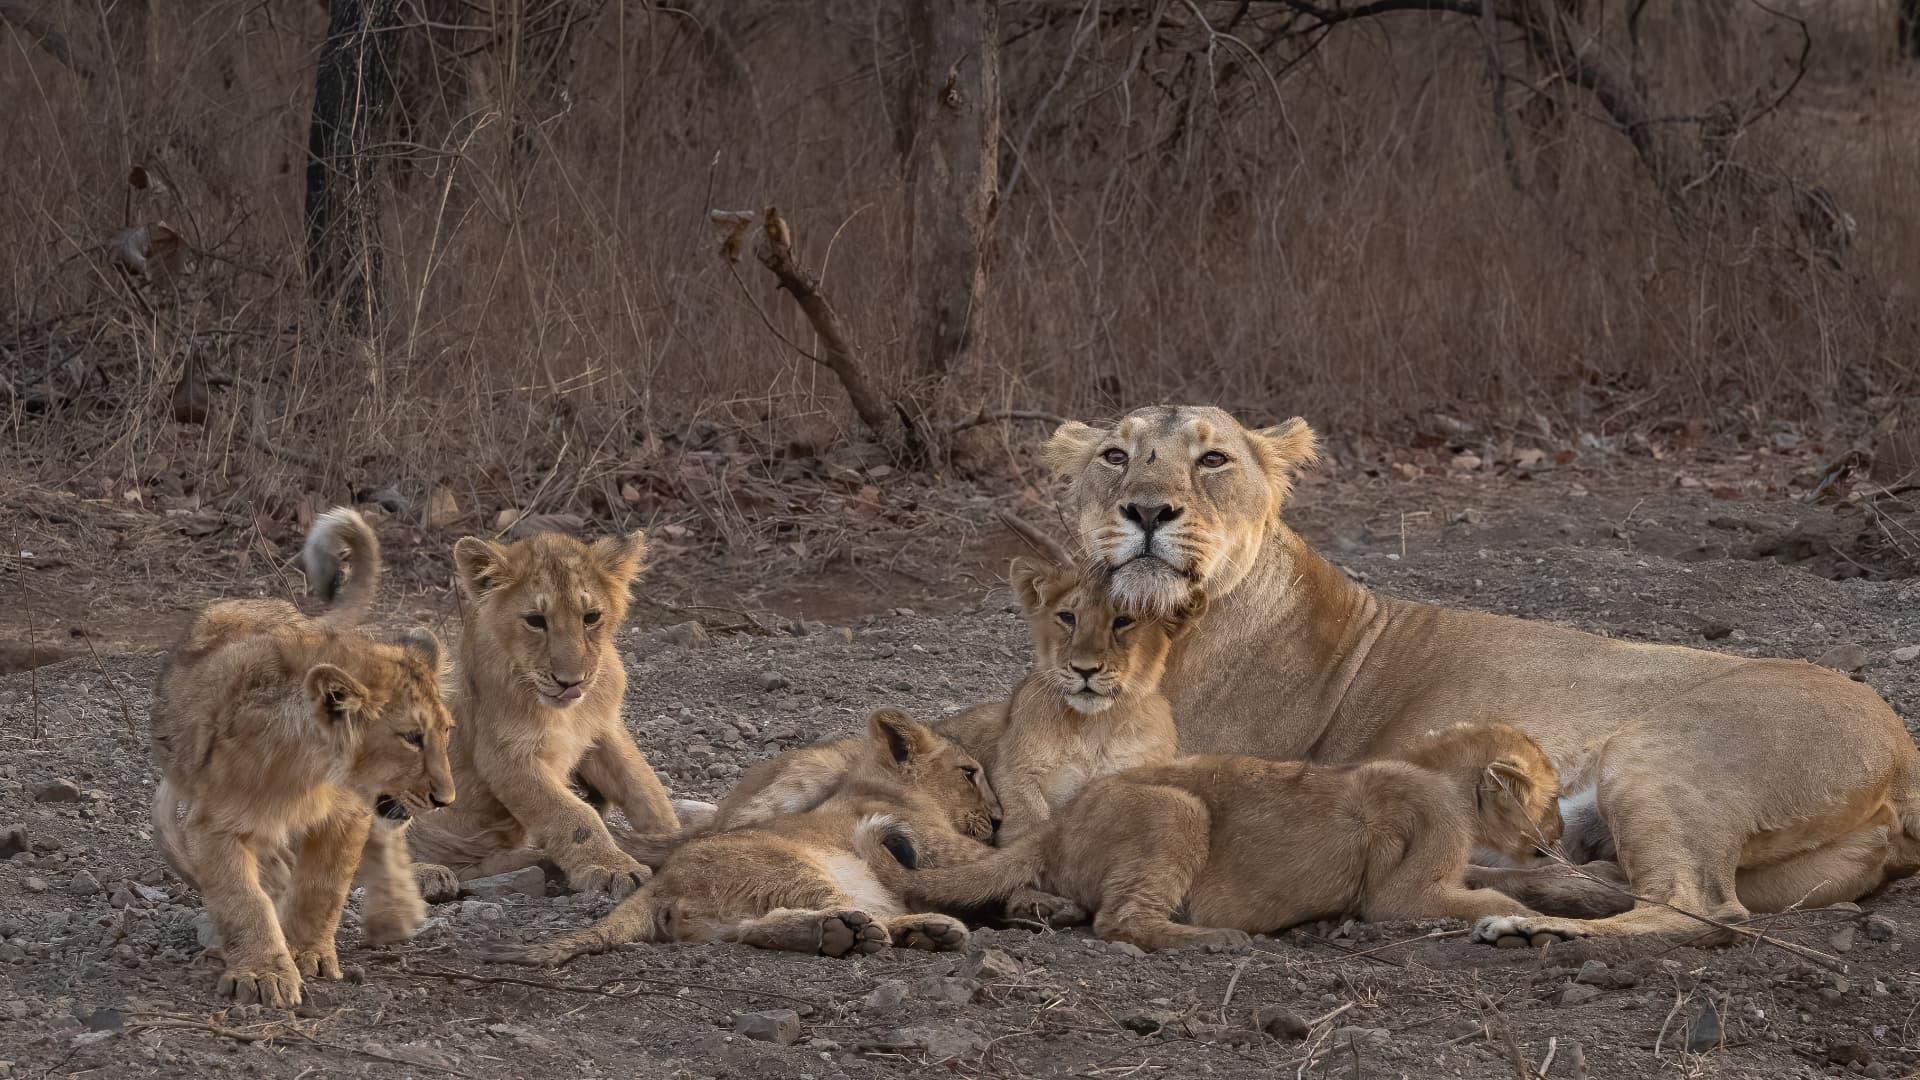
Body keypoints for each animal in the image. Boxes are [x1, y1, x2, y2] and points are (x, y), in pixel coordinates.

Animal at [149, 508, 457, 1007]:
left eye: (445, 732)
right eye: (411, 738)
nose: (446, 799)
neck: (308, 774)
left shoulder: (348, 815)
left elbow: (323, 888)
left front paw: (305, 953)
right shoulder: (213, 824)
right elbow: (242, 898)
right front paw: (264, 972)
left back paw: (394, 912)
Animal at [403, 528, 683, 897]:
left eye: (591, 617)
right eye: (536, 621)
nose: (570, 682)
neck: (568, 711)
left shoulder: (603, 731)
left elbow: (646, 788)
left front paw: (672, 841)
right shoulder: (504, 756)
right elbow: (572, 814)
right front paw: (612, 867)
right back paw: (430, 875)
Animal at [479, 709, 999, 965]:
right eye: (969, 772)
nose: (996, 817)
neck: (881, 784)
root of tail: (659, 883)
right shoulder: (935, 843)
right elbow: (988, 861)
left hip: (723, 920)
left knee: (754, 930)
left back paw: (889, 934)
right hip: (791, 868)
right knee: (840, 912)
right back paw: (902, 931)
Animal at [894, 721, 1561, 950]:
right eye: (1552, 795)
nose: (1557, 831)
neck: (1446, 773)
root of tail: (1060, 819)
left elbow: (1503, 879)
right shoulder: (1402, 895)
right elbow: (1491, 896)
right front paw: (1525, 921)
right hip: (1176, 810)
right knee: (1121, 921)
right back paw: (1217, 939)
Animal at [1043, 405, 1920, 943]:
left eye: (1213, 459)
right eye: (1115, 457)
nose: (1146, 510)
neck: (1164, 629)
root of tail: (1903, 751)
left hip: (1662, 751)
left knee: (1701, 909)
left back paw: (1532, 929)